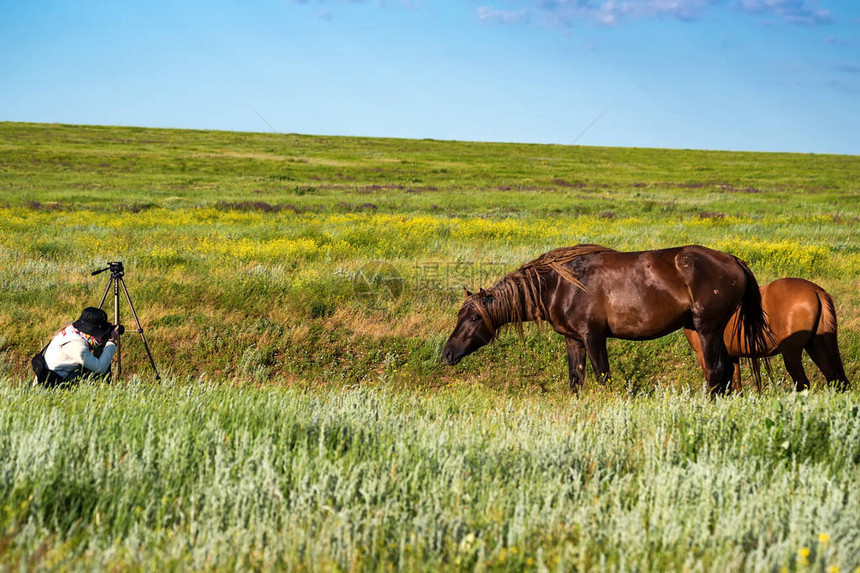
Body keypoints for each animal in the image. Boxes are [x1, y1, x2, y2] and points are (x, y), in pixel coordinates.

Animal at [444, 244, 772, 396]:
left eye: (473, 318)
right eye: (461, 315)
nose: (446, 353)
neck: (560, 285)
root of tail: (733, 260)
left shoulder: (594, 336)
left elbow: (603, 376)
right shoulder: (574, 339)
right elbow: (576, 379)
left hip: (708, 329)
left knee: (717, 371)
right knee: (727, 371)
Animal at [684, 276, 848, 392]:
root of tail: (815, 290)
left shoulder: (704, 355)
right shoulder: (732, 356)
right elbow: (736, 385)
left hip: (791, 353)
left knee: (802, 383)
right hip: (816, 346)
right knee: (835, 379)